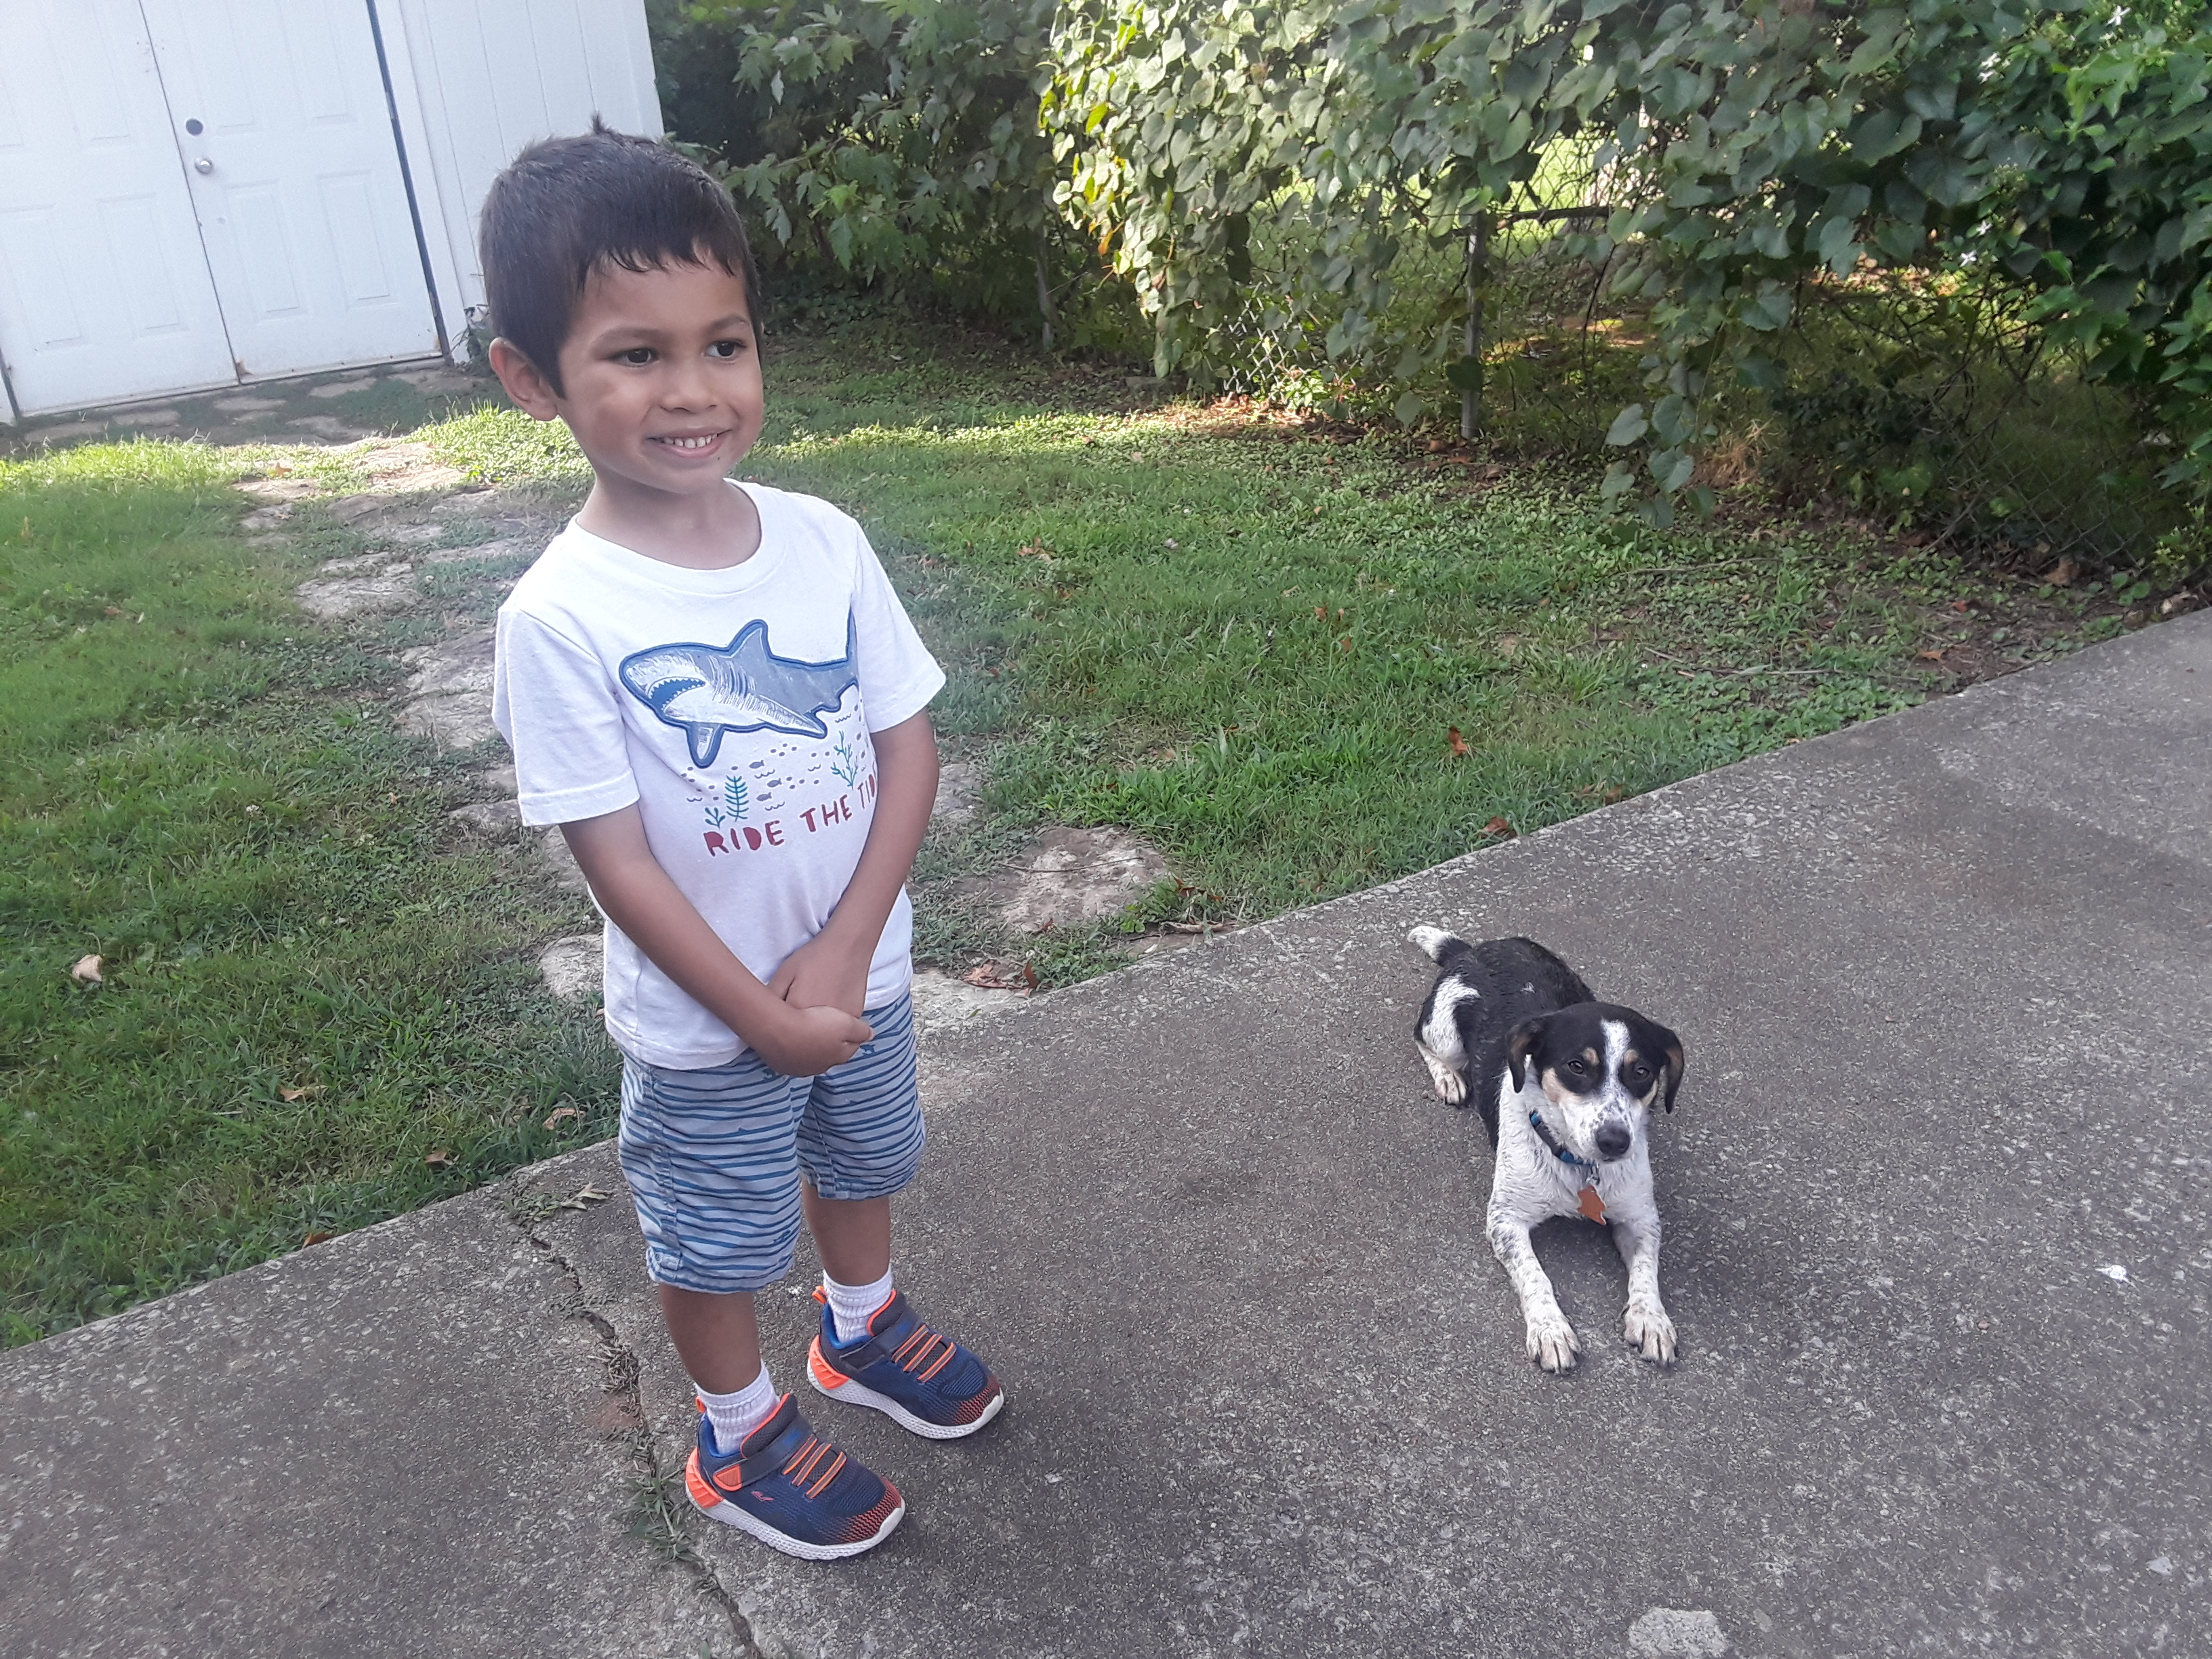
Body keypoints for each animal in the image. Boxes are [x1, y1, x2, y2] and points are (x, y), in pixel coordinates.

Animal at [1408, 927, 1685, 1373]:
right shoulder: (1506, 1221)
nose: (1615, 1141)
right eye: (1576, 1066)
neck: (1579, 1166)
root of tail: (1472, 949)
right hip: (1445, 1033)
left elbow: (1647, 1271)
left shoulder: (1641, 1218)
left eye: (1642, 1072)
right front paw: (1551, 1330)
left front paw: (1651, 1319)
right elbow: (1536, 1277)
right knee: (1423, 1040)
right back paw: (1448, 1078)